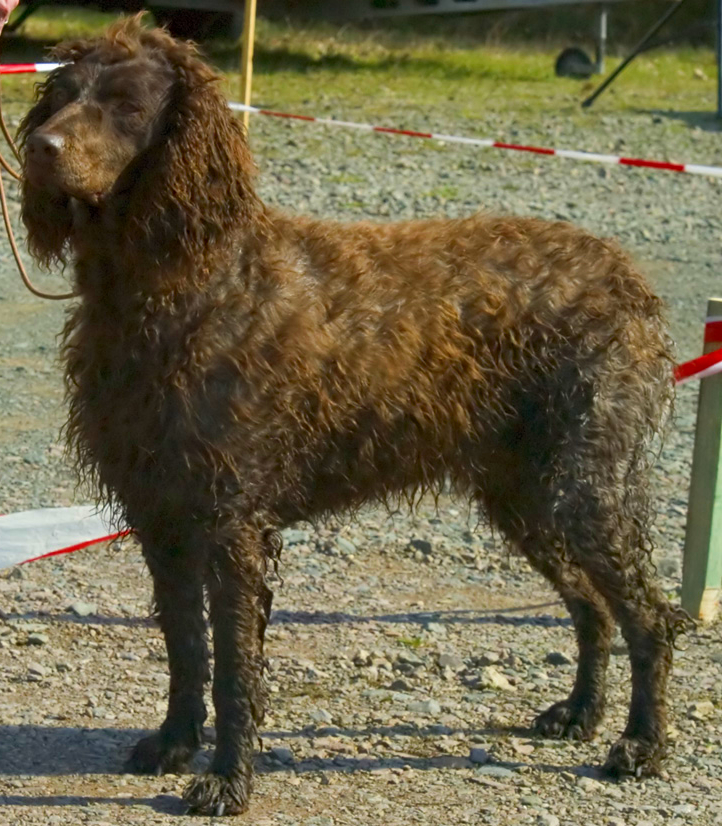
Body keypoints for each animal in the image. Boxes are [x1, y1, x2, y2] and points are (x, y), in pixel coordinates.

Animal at [19, 16, 688, 816]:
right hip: (528, 496)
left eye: (125, 105)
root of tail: (629, 279)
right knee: (593, 607)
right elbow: (185, 647)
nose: (39, 147)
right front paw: (175, 744)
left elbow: (234, 666)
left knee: (649, 618)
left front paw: (227, 780)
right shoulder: (163, 516)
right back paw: (580, 714)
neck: (184, 283)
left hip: (585, 487)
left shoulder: (231, 522)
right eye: (63, 92)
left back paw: (641, 745)